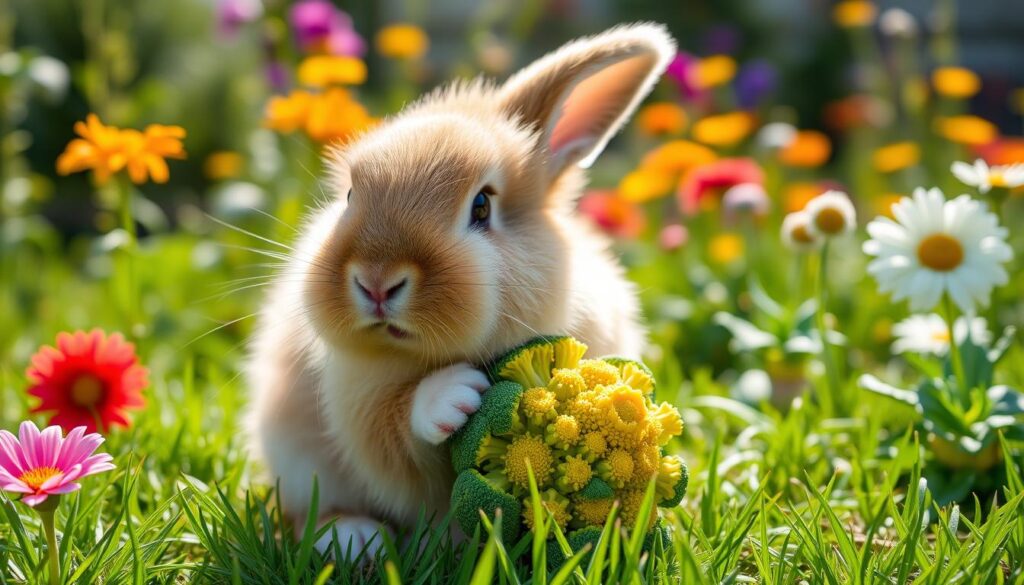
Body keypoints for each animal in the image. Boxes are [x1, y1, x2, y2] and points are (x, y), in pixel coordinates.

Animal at [244, 22, 675, 561]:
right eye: (349, 196)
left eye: (482, 207)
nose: (377, 281)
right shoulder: (356, 400)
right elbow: (395, 430)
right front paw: (455, 396)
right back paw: (355, 537)